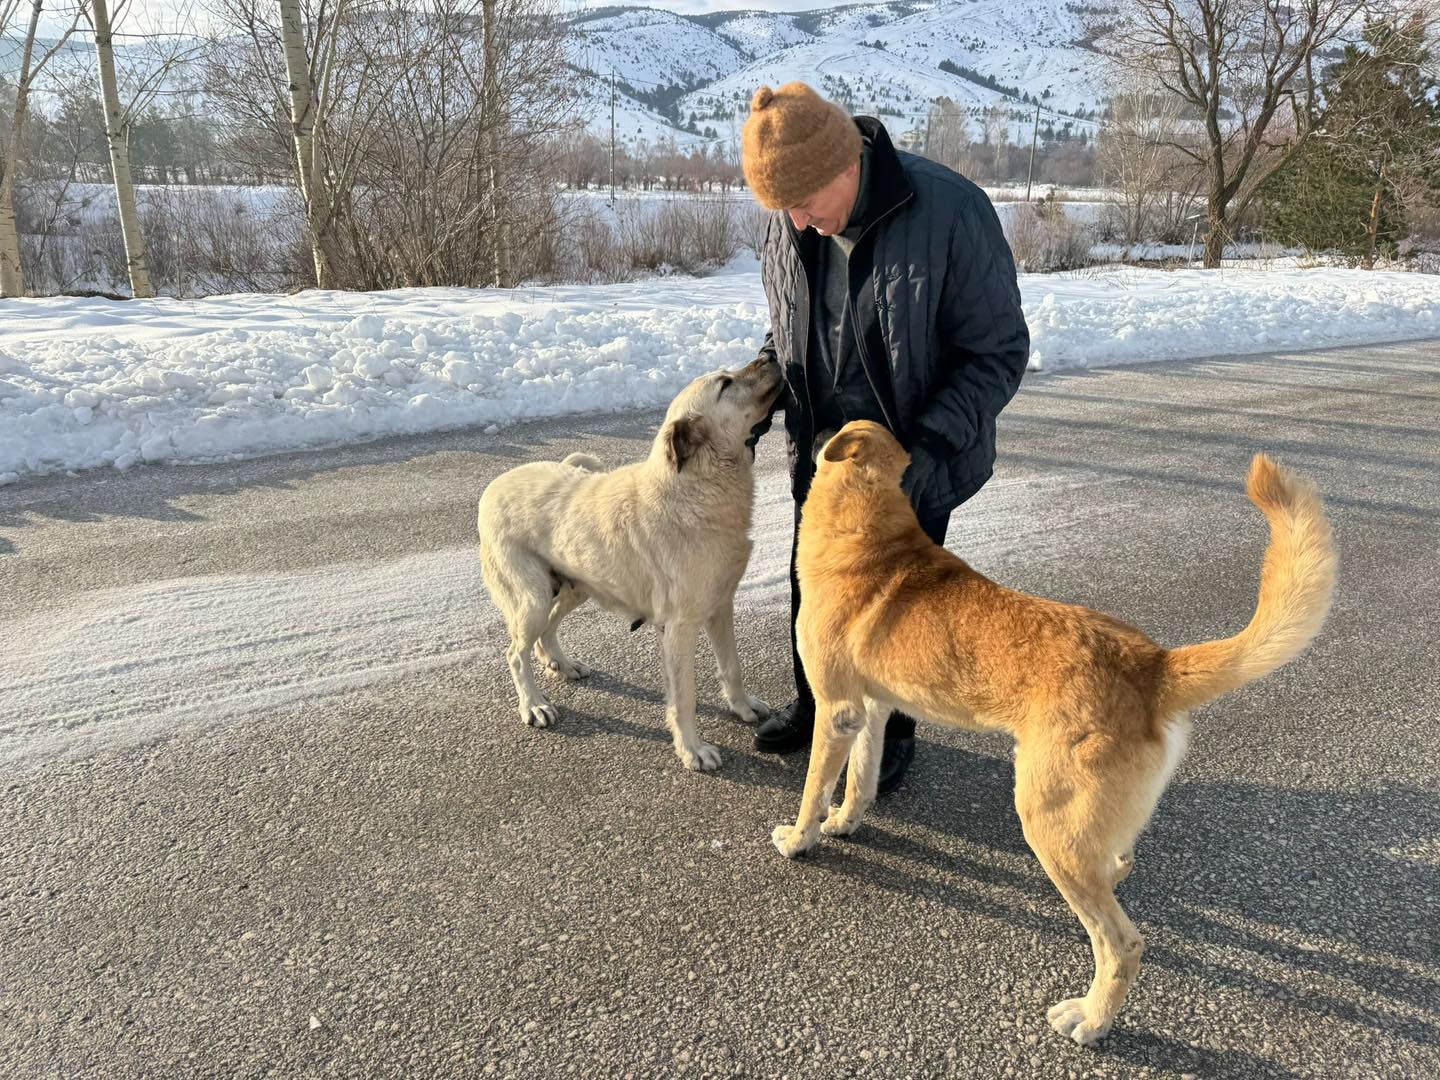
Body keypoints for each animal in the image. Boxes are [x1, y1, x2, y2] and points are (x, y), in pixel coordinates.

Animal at [478, 355, 783, 771]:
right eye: (725, 384)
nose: (770, 356)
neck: (693, 488)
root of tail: (493, 486)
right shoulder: (680, 627)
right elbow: (684, 698)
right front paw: (691, 749)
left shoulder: (721, 606)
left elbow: (731, 667)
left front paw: (743, 707)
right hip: (533, 599)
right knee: (514, 653)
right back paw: (534, 705)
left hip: (576, 587)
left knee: (546, 631)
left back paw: (561, 663)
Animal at [777, 417, 1336, 1042]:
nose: (800, 422)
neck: (867, 531)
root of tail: (1153, 665)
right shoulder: (870, 711)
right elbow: (859, 781)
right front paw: (845, 822)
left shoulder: (836, 710)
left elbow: (813, 789)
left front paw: (801, 838)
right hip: (1080, 826)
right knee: (1117, 863)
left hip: (1048, 823)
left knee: (1122, 945)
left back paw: (1090, 1020)